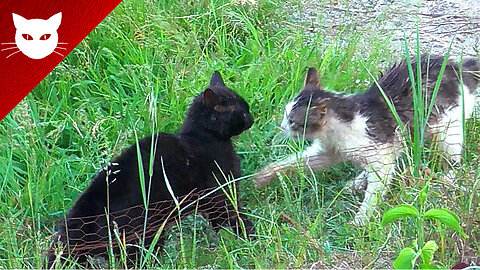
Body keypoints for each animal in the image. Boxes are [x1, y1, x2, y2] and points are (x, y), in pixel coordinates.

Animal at [48, 71, 255, 268]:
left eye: (247, 109)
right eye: (243, 113)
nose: (252, 119)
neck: (201, 137)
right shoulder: (220, 194)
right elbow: (234, 216)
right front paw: (248, 236)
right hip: (144, 235)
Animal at [255, 55, 480, 226]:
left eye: (292, 121)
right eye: (285, 114)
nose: (282, 126)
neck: (336, 131)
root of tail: (458, 66)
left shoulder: (381, 154)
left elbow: (375, 193)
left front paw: (360, 220)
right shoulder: (327, 152)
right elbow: (292, 163)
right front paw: (260, 177)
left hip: (448, 131)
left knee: (456, 163)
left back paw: (447, 176)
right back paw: (357, 181)